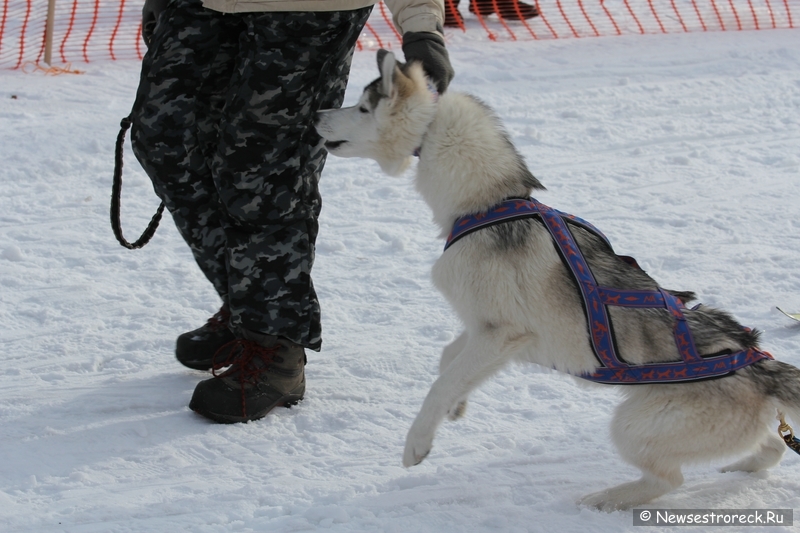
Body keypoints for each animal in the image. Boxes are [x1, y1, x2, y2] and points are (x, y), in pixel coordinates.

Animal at [316, 51, 800, 512]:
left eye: (362, 107)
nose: (318, 113)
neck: (489, 202)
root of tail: (761, 365)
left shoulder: (501, 333)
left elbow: (440, 383)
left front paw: (418, 441)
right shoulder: (486, 332)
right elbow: (449, 362)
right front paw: (459, 403)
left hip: (634, 425)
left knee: (669, 480)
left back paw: (606, 499)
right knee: (772, 447)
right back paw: (742, 465)